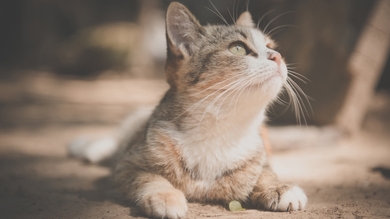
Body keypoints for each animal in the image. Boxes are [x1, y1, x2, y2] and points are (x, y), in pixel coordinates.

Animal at [70, 2, 308, 219]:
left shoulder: (259, 156)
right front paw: (165, 196)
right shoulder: (127, 166)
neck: (218, 130)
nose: (277, 56)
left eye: (270, 45)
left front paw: (279, 187)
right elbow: (149, 177)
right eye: (238, 48)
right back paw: (89, 147)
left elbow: (266, 172)